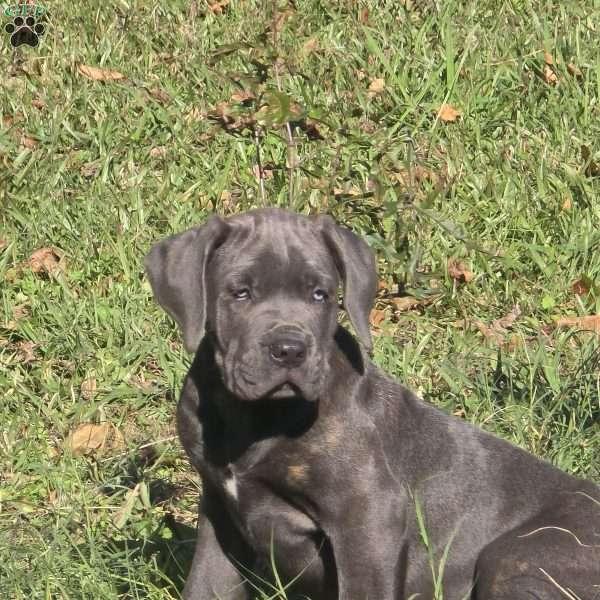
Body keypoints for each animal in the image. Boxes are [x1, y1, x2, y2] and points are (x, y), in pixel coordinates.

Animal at [146, 207, 600, 600]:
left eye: (320, 295)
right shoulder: (220, 513)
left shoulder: (367, 516)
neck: (255, 416)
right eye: (240, 293)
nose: (290, 349)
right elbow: (206, 584)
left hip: (516, 556)